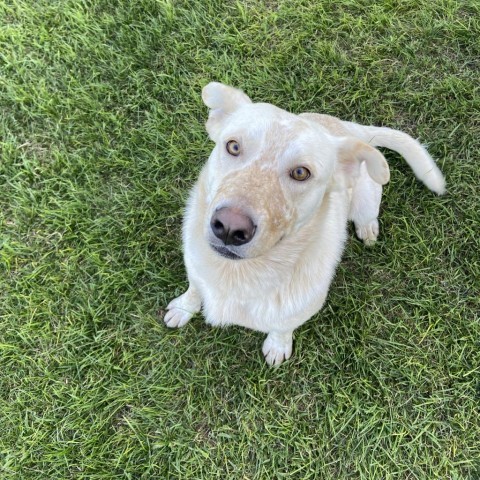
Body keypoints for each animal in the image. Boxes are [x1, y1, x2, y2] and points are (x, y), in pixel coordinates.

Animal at [162, 82, 446, 366]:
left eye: (301, 173)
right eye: (233, 146)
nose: (230, 228)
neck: (236, 274)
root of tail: (352, 129)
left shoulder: (300, 309)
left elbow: (282, 327)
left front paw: (277, 346)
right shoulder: (196, 272)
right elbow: (194, 290)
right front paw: (183, 308)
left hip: (367, 197)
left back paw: (367, 229)